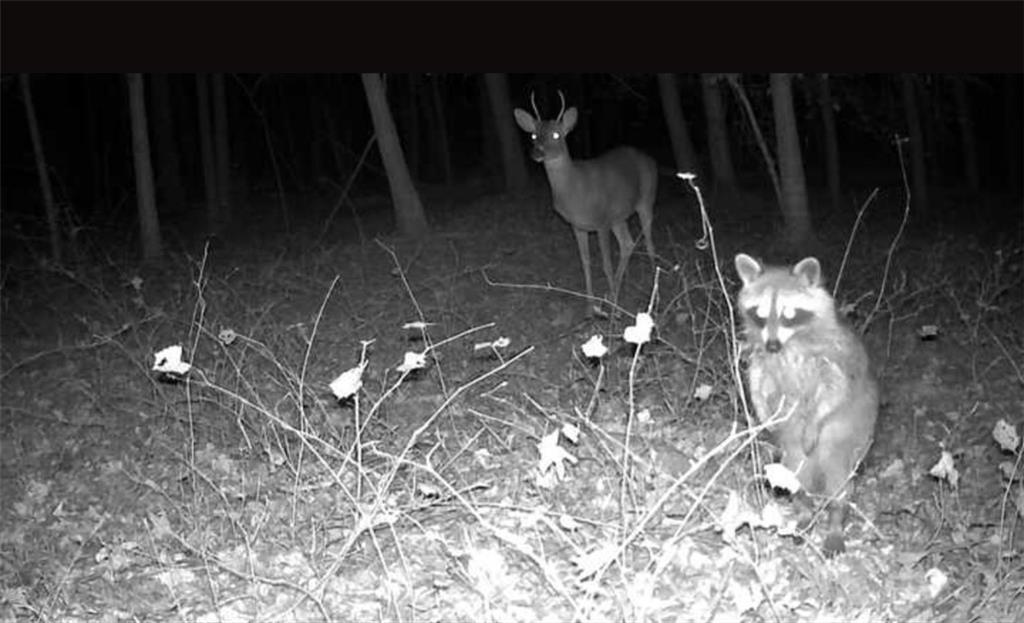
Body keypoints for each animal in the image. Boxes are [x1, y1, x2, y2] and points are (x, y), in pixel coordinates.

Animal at [516, 91, 659, 309]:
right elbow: (585, 264)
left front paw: (614, 310)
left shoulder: (602, 222)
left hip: (646, 199)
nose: (537, 152)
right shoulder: (578, 226)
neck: (575, 192)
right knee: (628, 243)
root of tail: (649, 159)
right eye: (533, 135)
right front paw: (590, 308)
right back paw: (620, 287)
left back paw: (649, 287)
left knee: (649, 242)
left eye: (557, 134)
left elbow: (606, 264)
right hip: (619, 215)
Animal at [733, 253, 876, 553]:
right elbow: (758, 382)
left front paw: (816, 418)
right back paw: (805, 510)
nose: (773, 345)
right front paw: (762, 414)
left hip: (850, 432)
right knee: (794, 471)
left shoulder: (835, 356)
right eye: (759, 313)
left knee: (838, 477)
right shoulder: (761, 358)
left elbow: (834, 388)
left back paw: (835, 519)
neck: (790, 342)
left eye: (788, 313)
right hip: (790, 441)